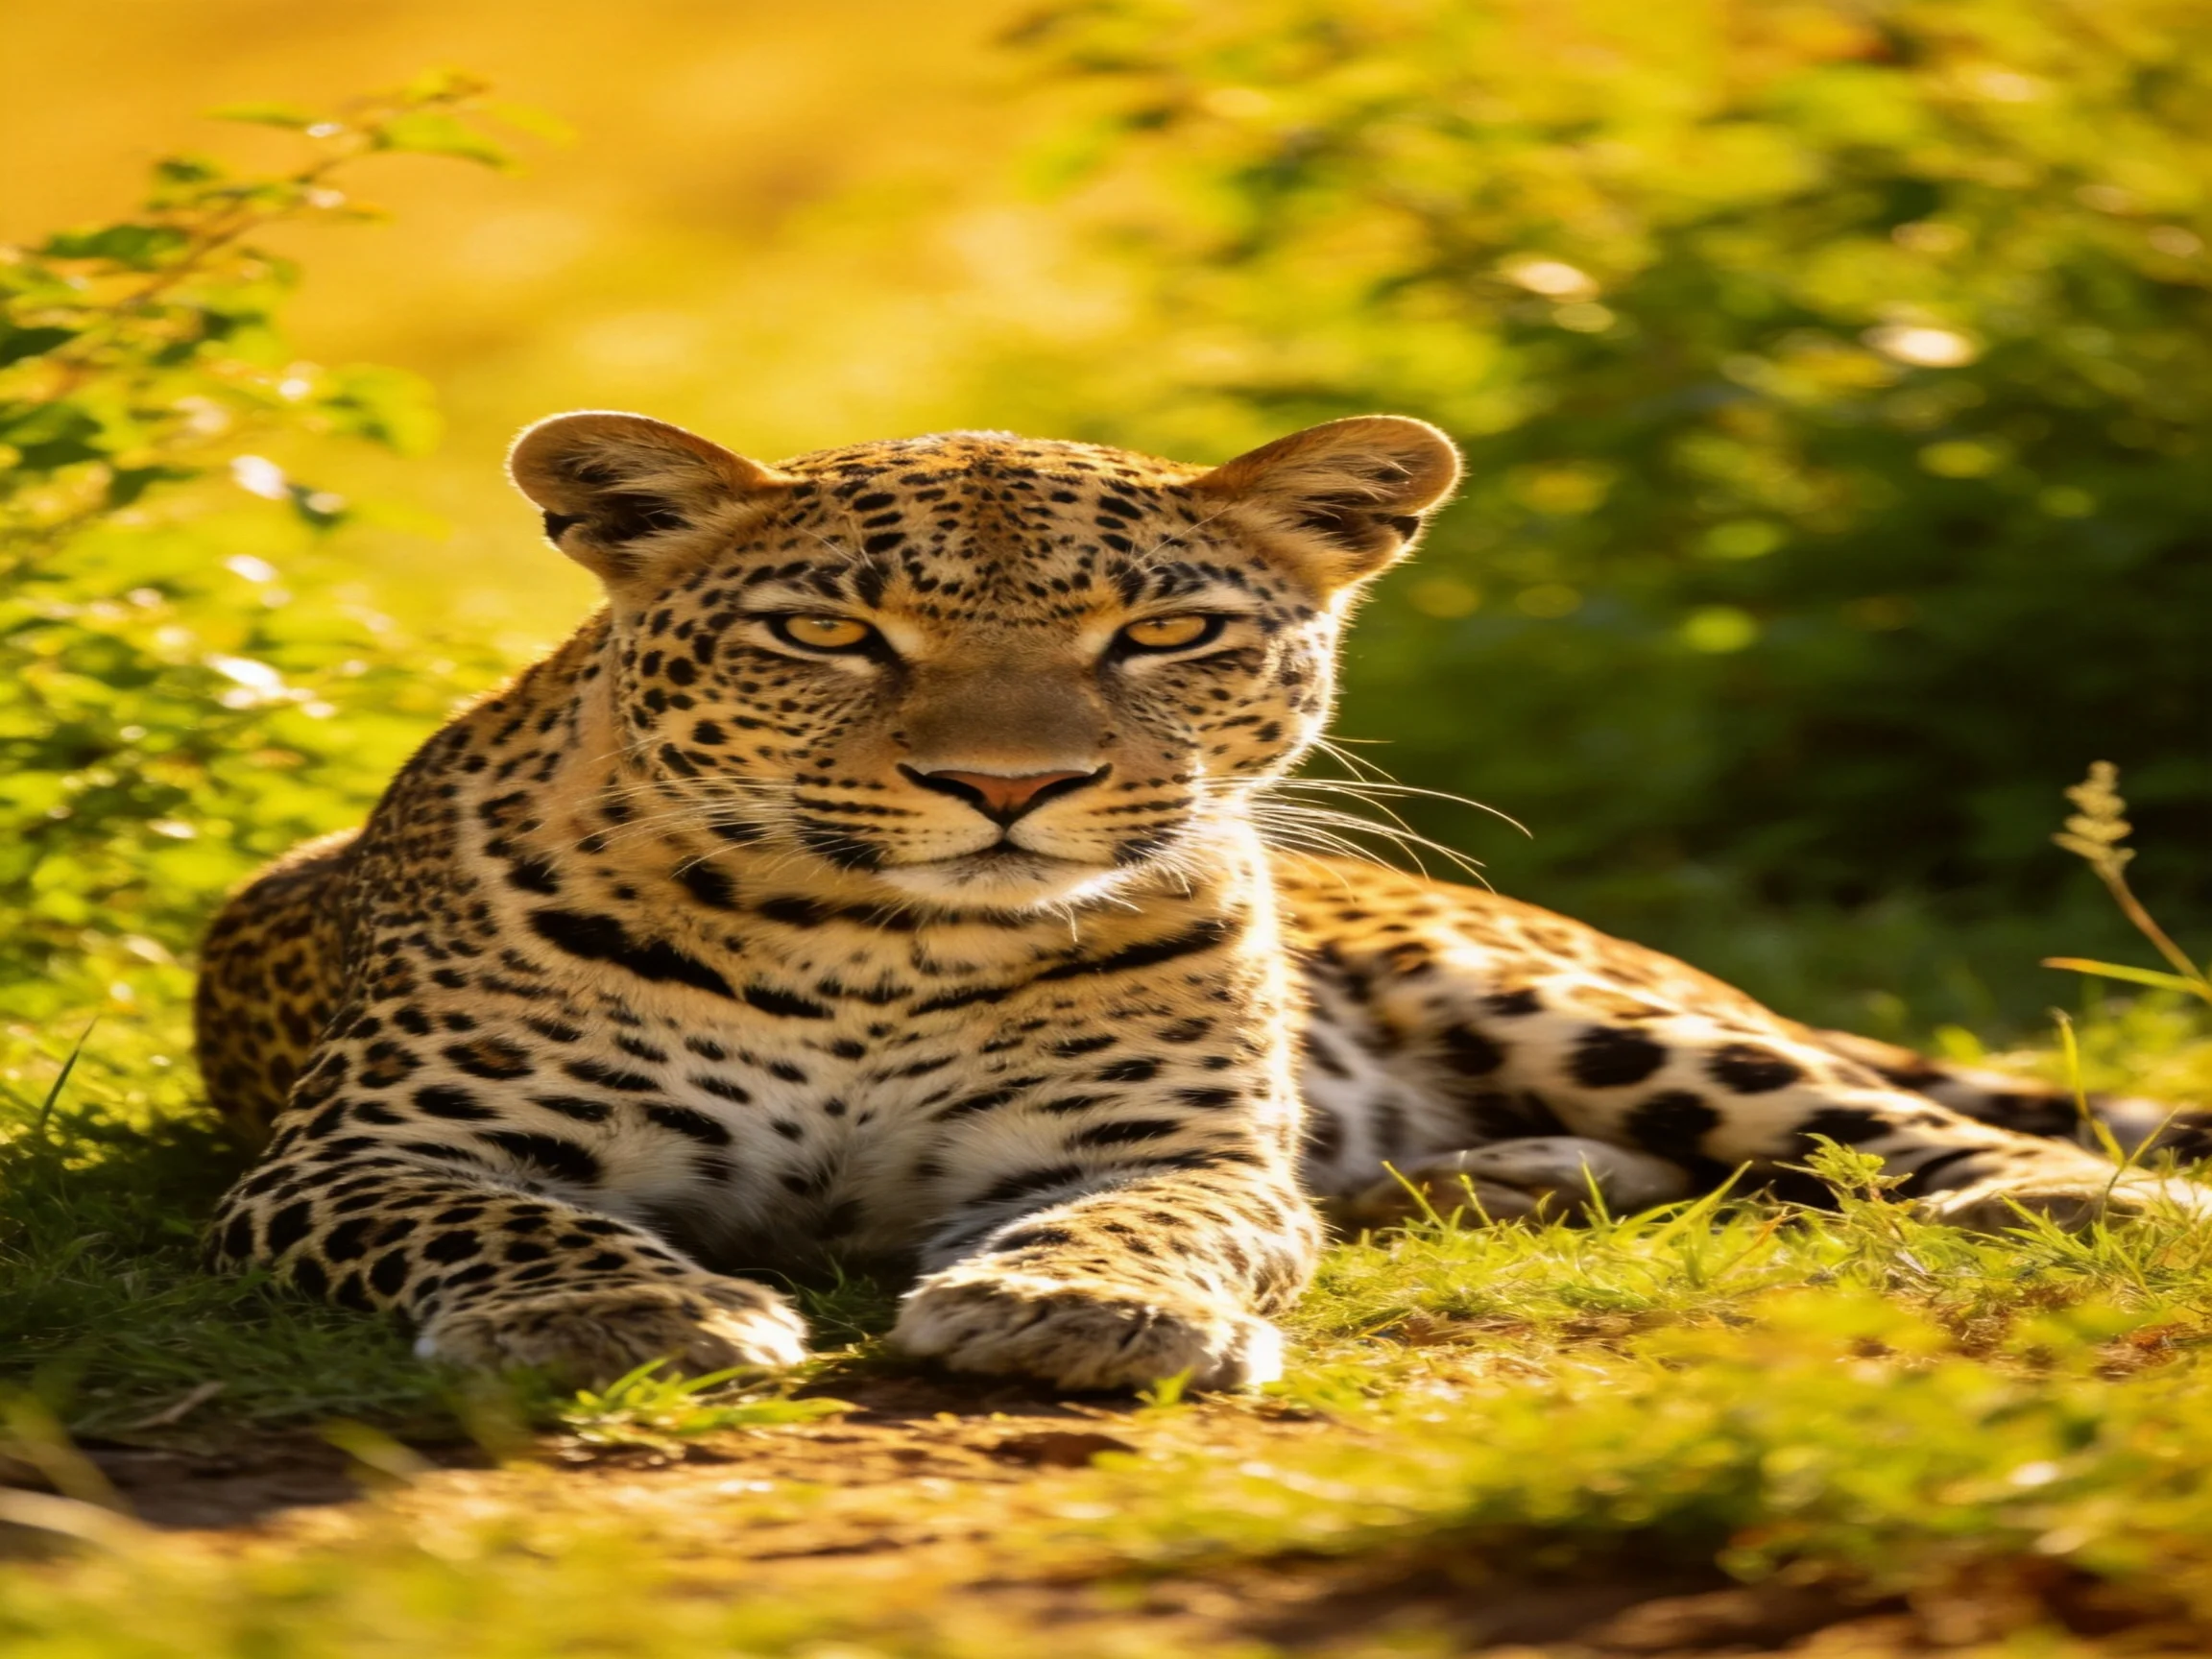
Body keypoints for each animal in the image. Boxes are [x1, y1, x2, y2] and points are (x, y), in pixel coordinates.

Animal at [194, 409, 2211, 1392]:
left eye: (1158, 632)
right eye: (832, 633)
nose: (1006, 787)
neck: (869, 945)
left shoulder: (1165, 1149)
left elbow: (1153, 1217)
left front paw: (1070, 1306)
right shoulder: (368, 1154)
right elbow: (507, 1223)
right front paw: (613, 1315)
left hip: (1541, 986)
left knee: (1883, 1119)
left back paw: (2072, 1200)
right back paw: (1476, 1183)